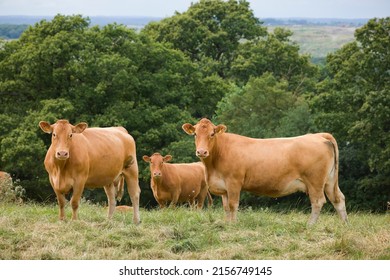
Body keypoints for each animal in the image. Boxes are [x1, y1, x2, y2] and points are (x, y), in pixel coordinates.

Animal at [183, 118, 348, 225]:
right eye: (195, 134)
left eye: (212, 134)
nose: (202, 151)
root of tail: (318, 135)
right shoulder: (223, 187)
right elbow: (226, 207)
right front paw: (227, 224)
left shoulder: (234, 182)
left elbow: (233, 205)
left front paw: (234, 225)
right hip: (330, 180)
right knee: (338, 198)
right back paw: (344, 225)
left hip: (315, 181)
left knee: (318, 201)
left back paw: (310, 225)